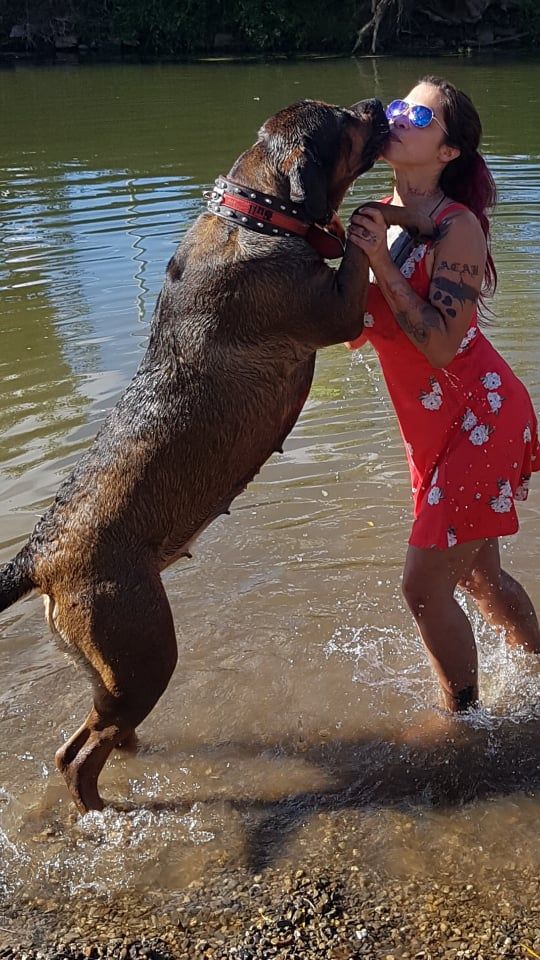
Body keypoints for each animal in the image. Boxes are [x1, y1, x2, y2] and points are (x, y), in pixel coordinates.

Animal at [1, 97, 438, 808]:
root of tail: (38, 553)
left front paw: (403, 213)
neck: (258, 212)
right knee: (79, 759)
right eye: (342, 119)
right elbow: (353, 235)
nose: (376, 104)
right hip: (143, 649)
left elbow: (358, 223)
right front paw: (381, 216)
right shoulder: (338, 311)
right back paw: (105, 814)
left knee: (80, 739)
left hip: (110, 668)